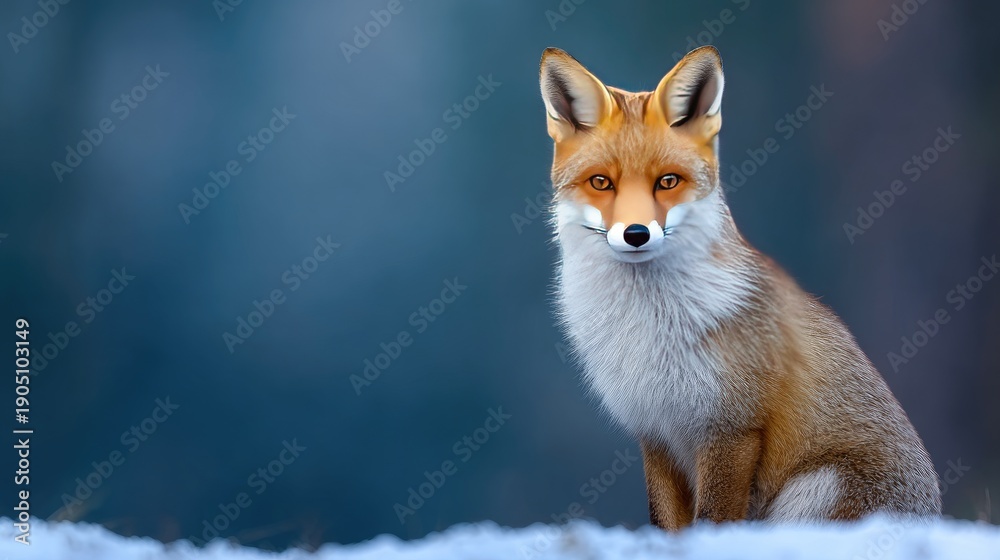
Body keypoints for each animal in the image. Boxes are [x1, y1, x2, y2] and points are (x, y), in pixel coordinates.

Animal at [539, 46, 941, 528]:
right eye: (601, 182)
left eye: (668, 181)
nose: (637, 234)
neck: (649, 328)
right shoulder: (655, 429)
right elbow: (667, 523)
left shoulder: (731, 428)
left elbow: (713, 518)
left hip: (816, 490)